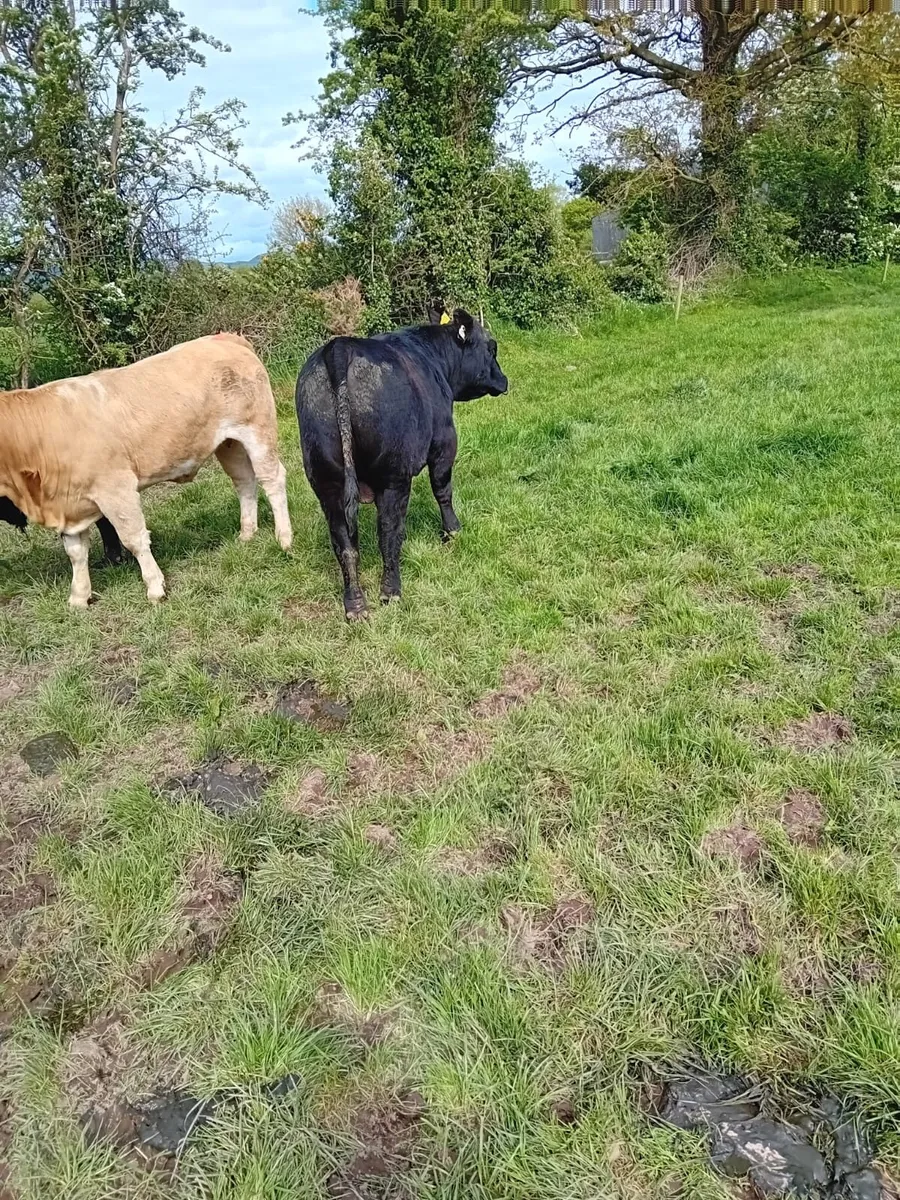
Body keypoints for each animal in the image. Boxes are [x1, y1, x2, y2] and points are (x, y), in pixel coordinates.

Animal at [0, 333, 292, 608]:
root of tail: (225, 338)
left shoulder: (116, 488)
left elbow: (134, 538)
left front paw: (155, 587)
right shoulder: (70, 504)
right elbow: (76, 553)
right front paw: (79, 597)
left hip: (258, 431)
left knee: (272, 479)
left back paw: (284, 538)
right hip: (229, 444)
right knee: (244, 482)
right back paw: (247, 534)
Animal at [295, 308, 508, 620]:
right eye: (491, 348)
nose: (504, 380)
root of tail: (339, 348)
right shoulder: (444, 441)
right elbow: (442, 489)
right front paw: (452, 531)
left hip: (326, 481)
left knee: (344, 544)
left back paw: (356, 606)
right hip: (393, 477)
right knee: (389, 531)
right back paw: (391, 590)